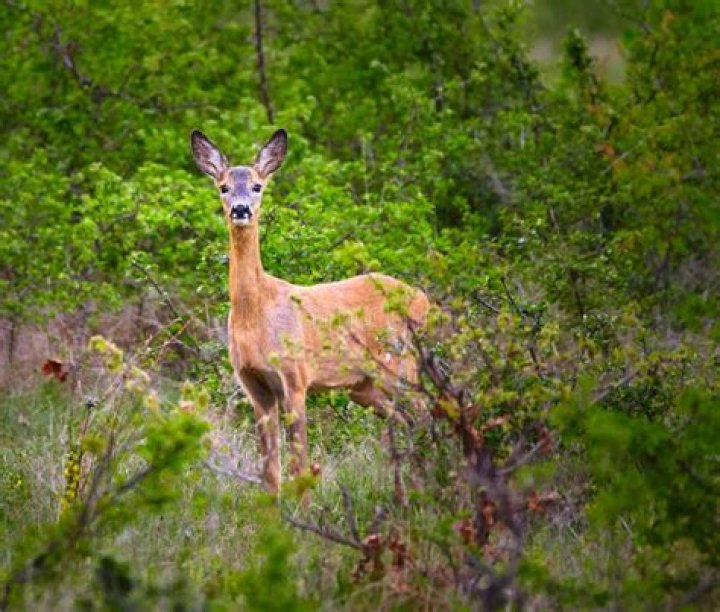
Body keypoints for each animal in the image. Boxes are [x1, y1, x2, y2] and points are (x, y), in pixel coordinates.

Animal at [191, 128, 429, 493]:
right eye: (224, 187)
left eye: (257, 185)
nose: (241, 210)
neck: (255, 315)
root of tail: (422, 299)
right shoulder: (254, 386)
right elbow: (270, 473)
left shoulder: (296, 377)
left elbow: (299, 466)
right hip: (365, 386)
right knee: (409, 422)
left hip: (400, 363)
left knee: (431, 413)